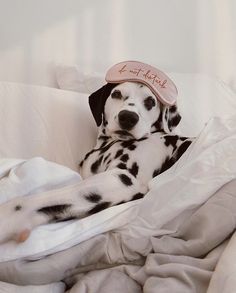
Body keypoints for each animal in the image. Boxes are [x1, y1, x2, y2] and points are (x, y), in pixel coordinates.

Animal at [0, 65, 194, 243]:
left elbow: (36, 200)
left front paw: (8, 218)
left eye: (150, 102)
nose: (128, 117)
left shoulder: (123, 179)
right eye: (117, 94)